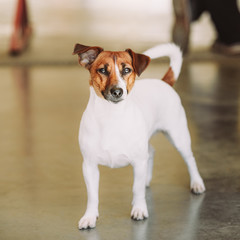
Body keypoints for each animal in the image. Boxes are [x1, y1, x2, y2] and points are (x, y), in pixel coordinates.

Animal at [72, 42, 205, 229]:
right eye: (102, 70)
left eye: (127, 70)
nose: (117, 91)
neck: (111, 117)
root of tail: (164, 82)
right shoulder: (89, 166)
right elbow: (92, 195)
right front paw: (89, 216)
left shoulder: (138, 161)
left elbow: (137, 188)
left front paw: (139, 209)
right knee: (151, 152)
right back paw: (147, 180)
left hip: (178, 136)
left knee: (190, 159)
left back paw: (197, 183)